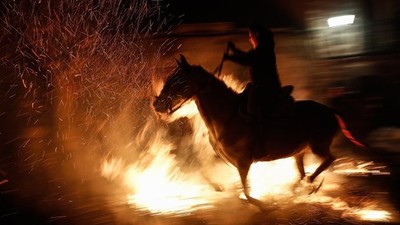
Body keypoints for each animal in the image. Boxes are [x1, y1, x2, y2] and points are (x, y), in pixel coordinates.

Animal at [152, 54, 364, 209]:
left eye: (179, 81)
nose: (157, 104)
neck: (227, 116)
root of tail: (330, 110)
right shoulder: (228, 160)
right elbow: (208, 172)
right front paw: (219, 187)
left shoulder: (243, 162)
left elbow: (246, 192)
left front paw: (263, 204)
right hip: (299, 151)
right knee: (303, 171)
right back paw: (300, 187)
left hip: (318, 146)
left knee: (329, 160)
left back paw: (309, 183)